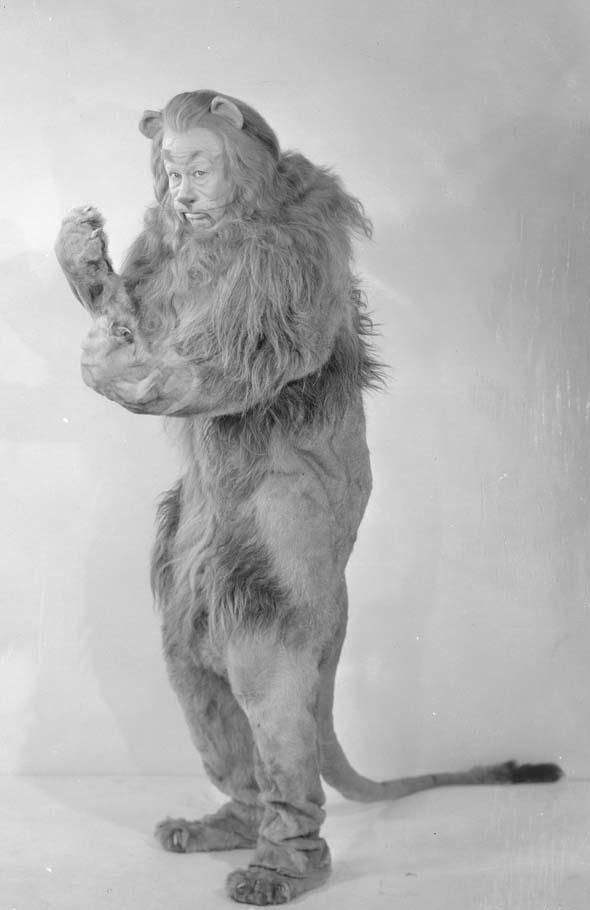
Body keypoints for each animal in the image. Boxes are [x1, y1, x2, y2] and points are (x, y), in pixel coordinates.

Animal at [55, 90, 562, 905]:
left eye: (198, 166)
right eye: (171, 171)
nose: (185, 199)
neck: (226, 231)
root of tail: (339, 594)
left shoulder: (284, 286)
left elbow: (203, 371)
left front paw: (107, 348)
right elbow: (131, 295)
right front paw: (81, 249)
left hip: (272, 604)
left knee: (281, 737)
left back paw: (278, 870)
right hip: (186, 614)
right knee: (223, 725)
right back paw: (221, 828)